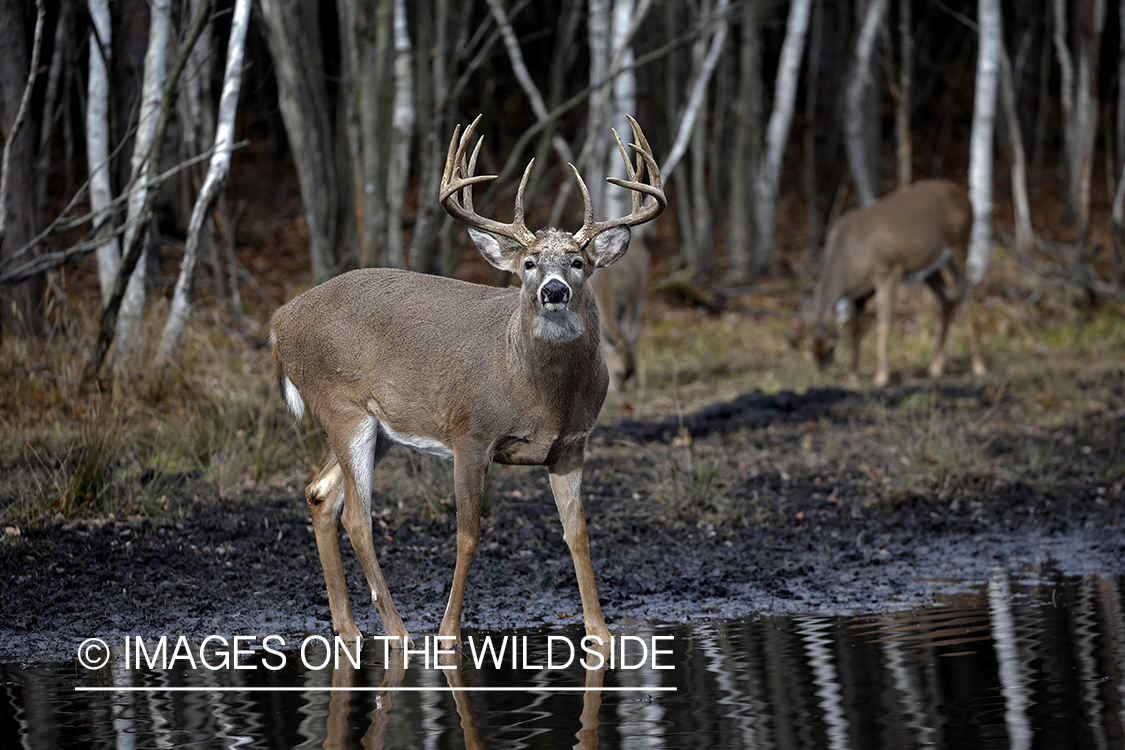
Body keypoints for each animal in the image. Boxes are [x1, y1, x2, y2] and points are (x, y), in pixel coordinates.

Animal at [589, 239, 652, 393]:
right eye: (619, 373)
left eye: (629, 372)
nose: (620, 390)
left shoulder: (632, 297)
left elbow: (633, 335)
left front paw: (640, 384)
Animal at [810, 177, 985, 386]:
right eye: (811, 348)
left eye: (831, 345)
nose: (821, 374)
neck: (850, 254)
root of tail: (964, 195)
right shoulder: (860, 293)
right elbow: (856, 329)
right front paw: (854, 374)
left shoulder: (889, 270)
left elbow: (883, 323)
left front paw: (881, 376)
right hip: (929, 268)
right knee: (947, 299)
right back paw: (936, 367)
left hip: (960, 245)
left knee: (965, 300)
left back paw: (978, 366)